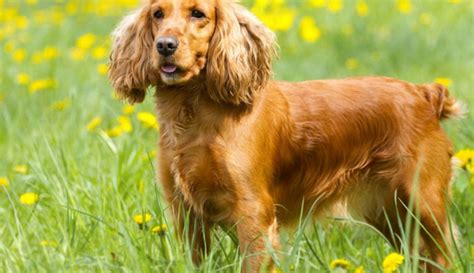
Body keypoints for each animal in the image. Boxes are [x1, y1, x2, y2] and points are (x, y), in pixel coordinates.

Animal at [107, 1, 460, 270]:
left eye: (198, 14)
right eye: (157, 13)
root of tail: (425, 94)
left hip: (423, 201)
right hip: (390, 213)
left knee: (444, 254)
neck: (195, 116)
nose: (165, 45)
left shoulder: (253, 214)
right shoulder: (186, 213)